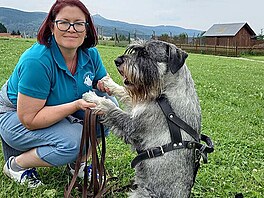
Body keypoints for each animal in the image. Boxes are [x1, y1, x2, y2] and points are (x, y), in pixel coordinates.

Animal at [83, 39, 201, 196]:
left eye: (145, 54)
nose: (117, 61)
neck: (166, 93)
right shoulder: (140, 101)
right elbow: (123, 90)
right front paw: (108, 83)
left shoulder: (131, 125)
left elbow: (112, 109)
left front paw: (94, 98)